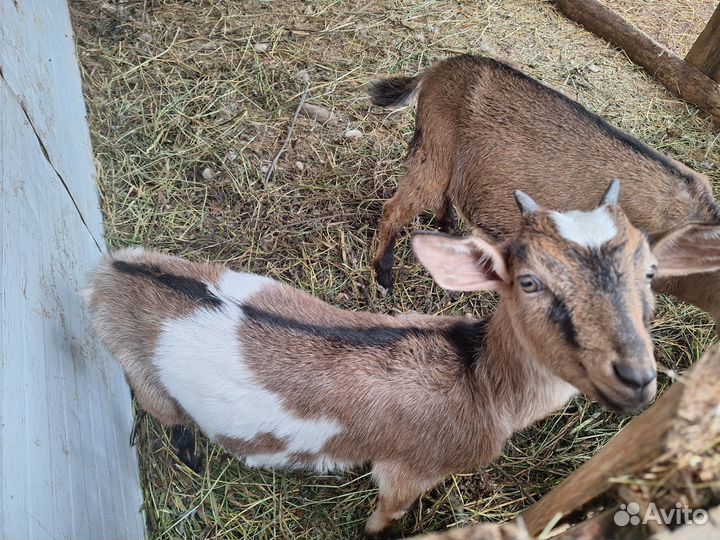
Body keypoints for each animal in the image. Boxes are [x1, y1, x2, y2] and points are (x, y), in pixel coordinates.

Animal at [85, 182, 720, 537]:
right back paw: (191, 457)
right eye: (529, 281)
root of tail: (105, 272)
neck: (478, 380)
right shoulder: (407, 470)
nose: (637, 378)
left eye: (651, 273)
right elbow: (385, 518)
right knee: (166, 415)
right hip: (138, 368)